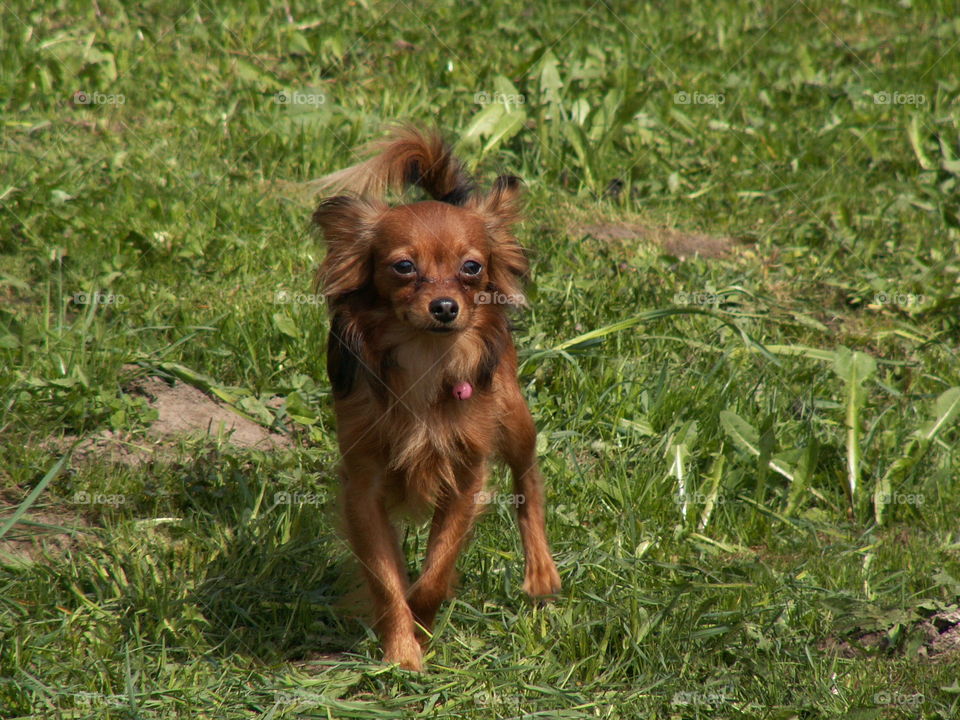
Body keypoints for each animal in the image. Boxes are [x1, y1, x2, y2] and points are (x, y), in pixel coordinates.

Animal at [312, 128, 560, 668]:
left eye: (471, 267)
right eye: (404, 267)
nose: (445, 306)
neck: (426, 357)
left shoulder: (465, 480)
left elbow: (436, 574)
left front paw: (421, 626)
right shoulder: (364, 487)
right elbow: (388, 581)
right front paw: (402, 652)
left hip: (512, 416)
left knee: (528, 480)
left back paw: (541, 573)